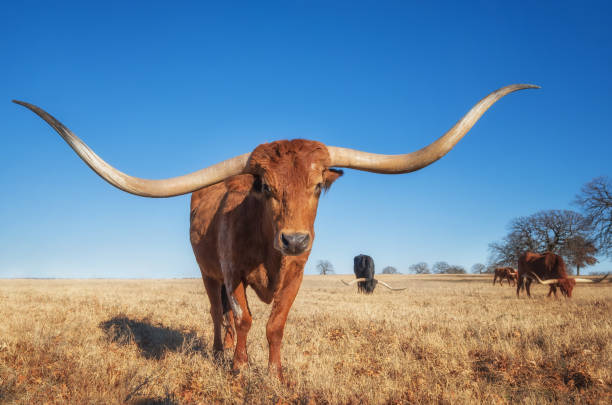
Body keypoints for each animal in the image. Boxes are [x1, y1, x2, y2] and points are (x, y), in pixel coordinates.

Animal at [14, 83, 536, 378]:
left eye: (318, 187)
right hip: (207, 275)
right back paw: (221, 352)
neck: (269, 248)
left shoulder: (297, 277)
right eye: (264, 186)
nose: (296, 239)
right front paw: (241, 369)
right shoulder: (232, 276)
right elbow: (243, 319)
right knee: (217, 315)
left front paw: (277, 374)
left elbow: (275, 324)